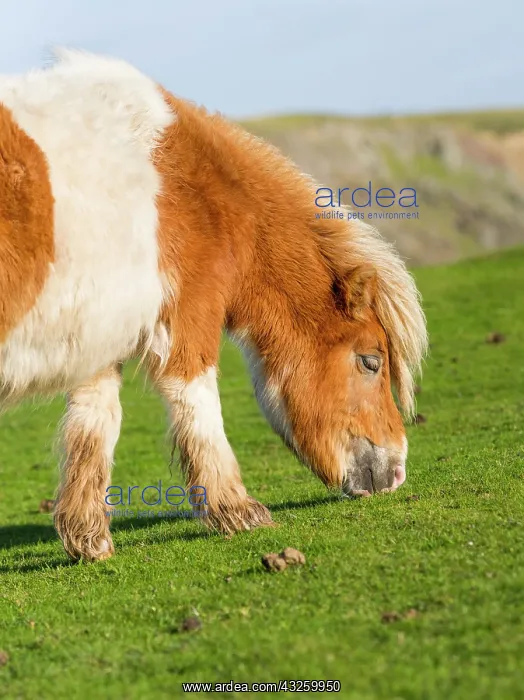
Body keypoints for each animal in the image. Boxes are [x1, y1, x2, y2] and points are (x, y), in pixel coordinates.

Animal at [0, 50, 427, 561]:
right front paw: (237, 510)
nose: (396, 471)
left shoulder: (101, 337)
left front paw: (88, 537)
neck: (197, 191)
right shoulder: (189, 318)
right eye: (370, 361)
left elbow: (94, 424)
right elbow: (199, 410)